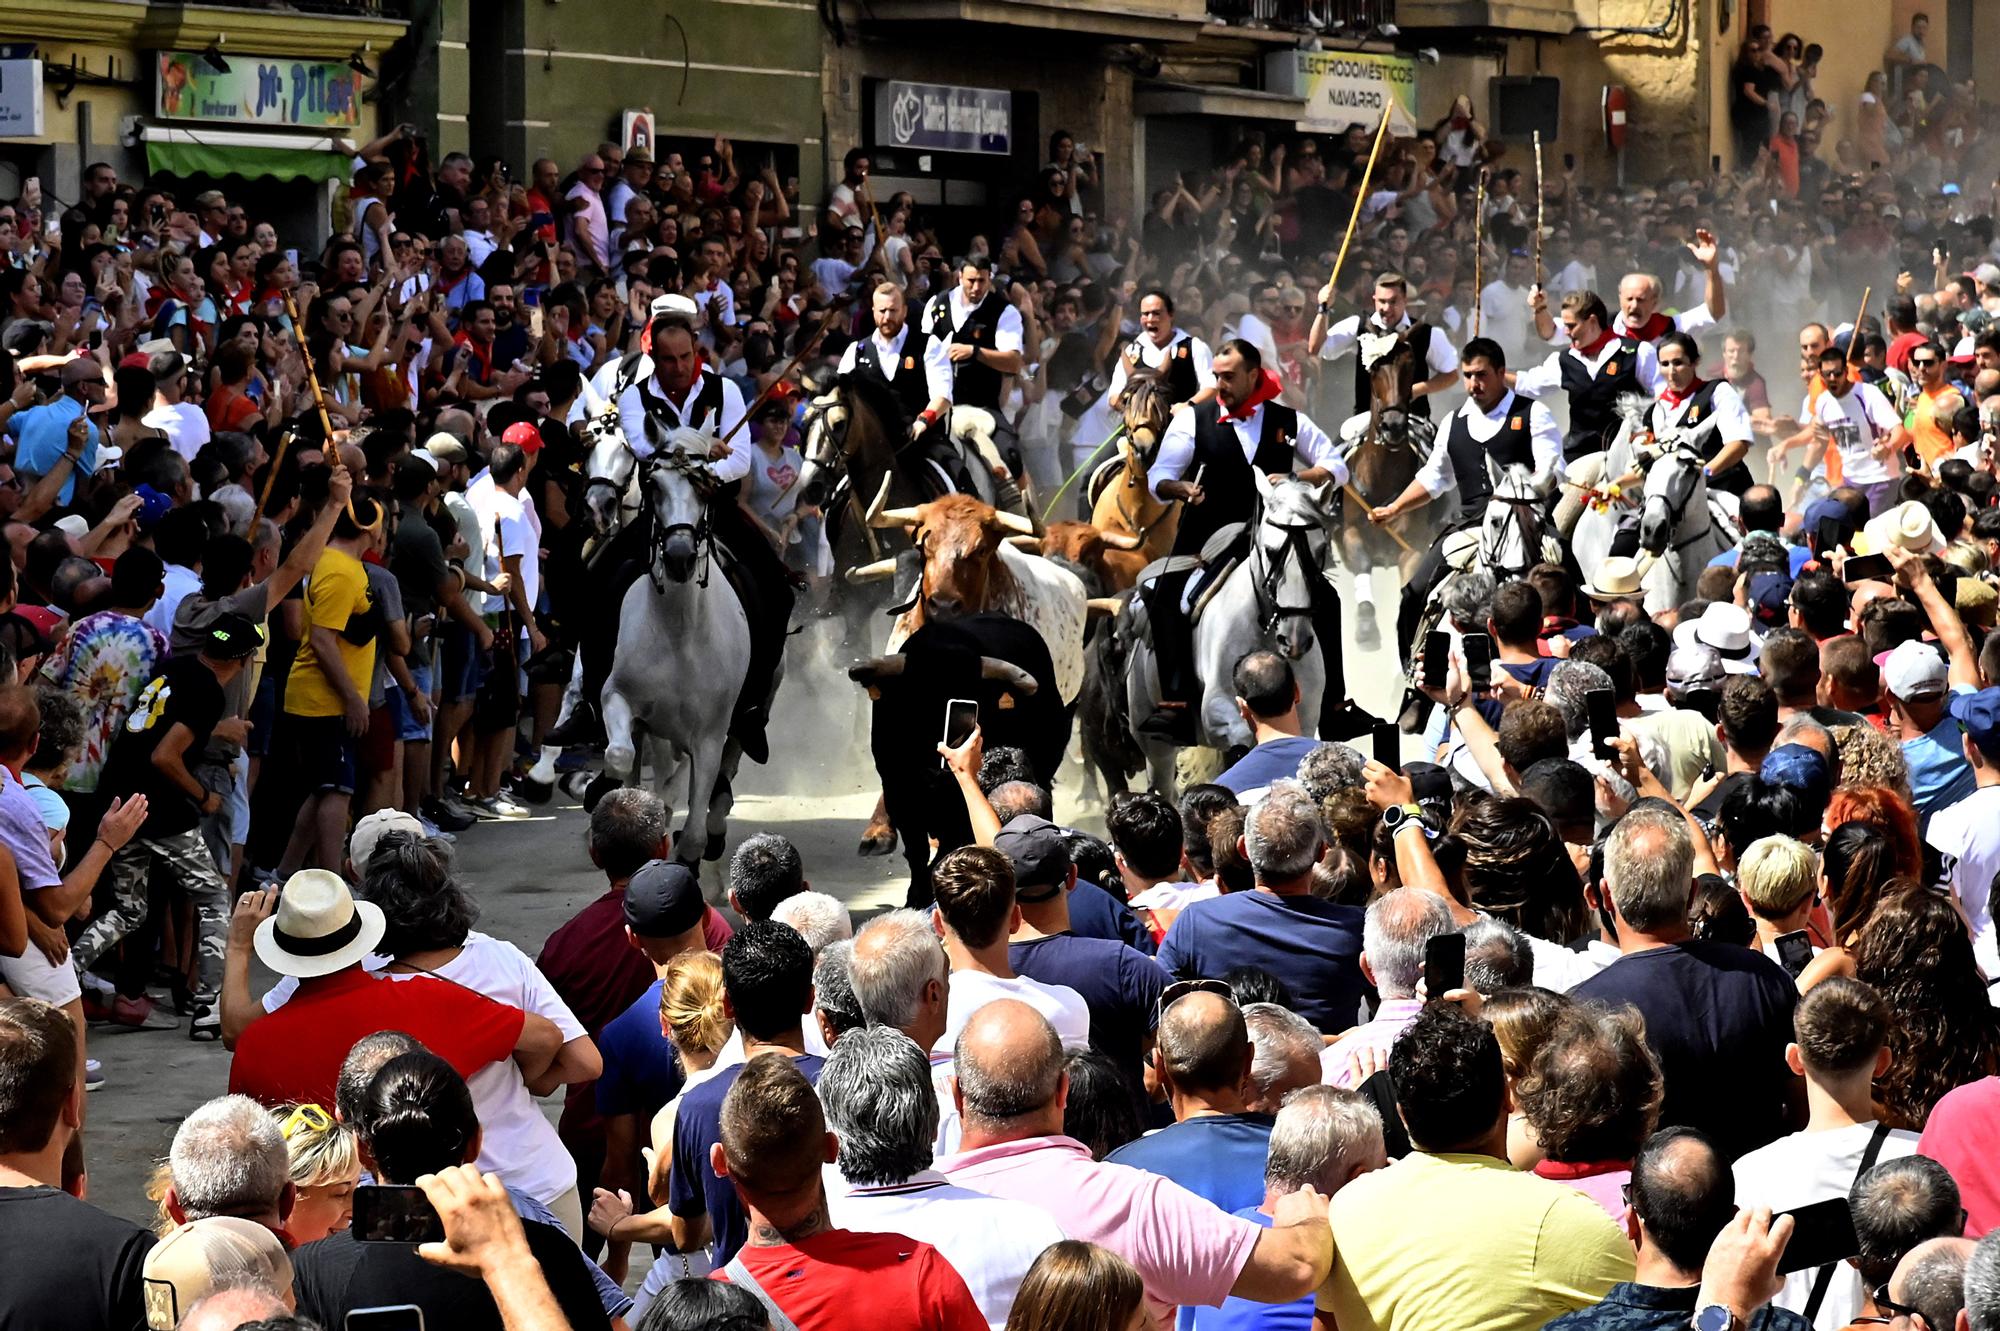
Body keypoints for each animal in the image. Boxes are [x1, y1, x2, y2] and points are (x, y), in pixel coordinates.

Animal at [848, 607, 1072, 903]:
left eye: (973, 696)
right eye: (913, 700)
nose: (935, 770)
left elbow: (951, 842)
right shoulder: (899, 789)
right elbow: (917, 849)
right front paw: (916, 895)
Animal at [1344, 325, 1440, 647]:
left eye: (1410, 366)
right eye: (1374, 368)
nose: (1394, 427)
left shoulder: (1414, 546)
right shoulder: (1349, 530)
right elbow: (1360, 559)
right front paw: (1365, 625)